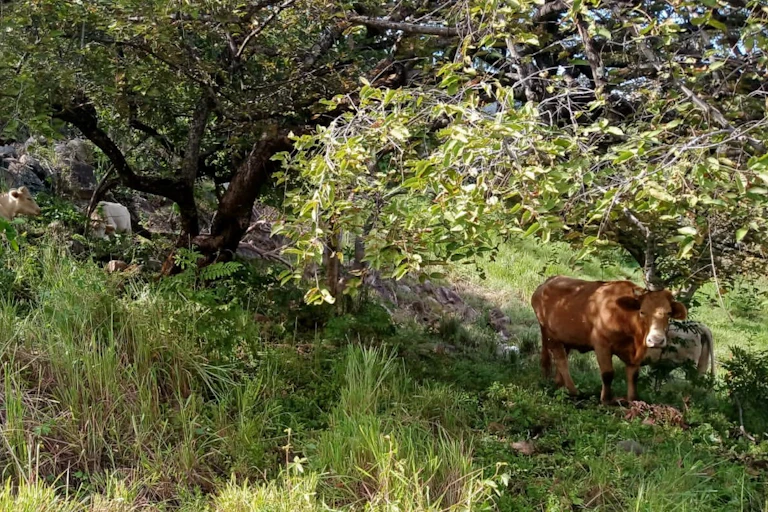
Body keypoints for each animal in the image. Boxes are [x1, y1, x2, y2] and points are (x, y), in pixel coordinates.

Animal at [531, 276, 687, 404]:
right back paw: (574, 391)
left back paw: (558, 384)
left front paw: (633, 400)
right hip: (550, 334)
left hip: (564, 336)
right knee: (561, 359)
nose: (656, 340)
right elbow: (608, 373)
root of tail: (547, 282)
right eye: (642, 311)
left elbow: (633, 376)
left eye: (668, 313)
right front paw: (606, 400)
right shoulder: (602, 344)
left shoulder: (636, 355)